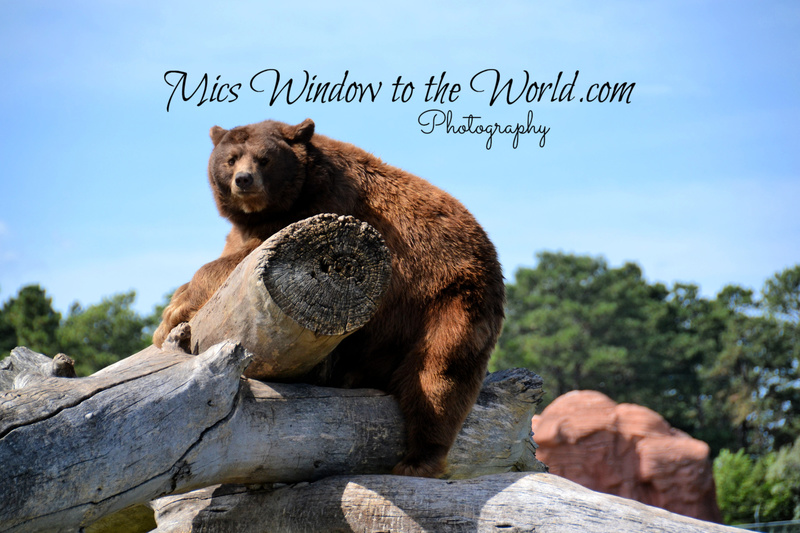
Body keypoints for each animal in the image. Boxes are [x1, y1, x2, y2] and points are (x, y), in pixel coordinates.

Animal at [153, 118, 505, 478]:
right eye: (231, 158)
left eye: (264, 159)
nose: (244, 180)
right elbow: (233, 253)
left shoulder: (324, 210)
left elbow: (240, 258)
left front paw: (171, 313)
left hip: (450, 300)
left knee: (439, 374)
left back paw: (417, 461)